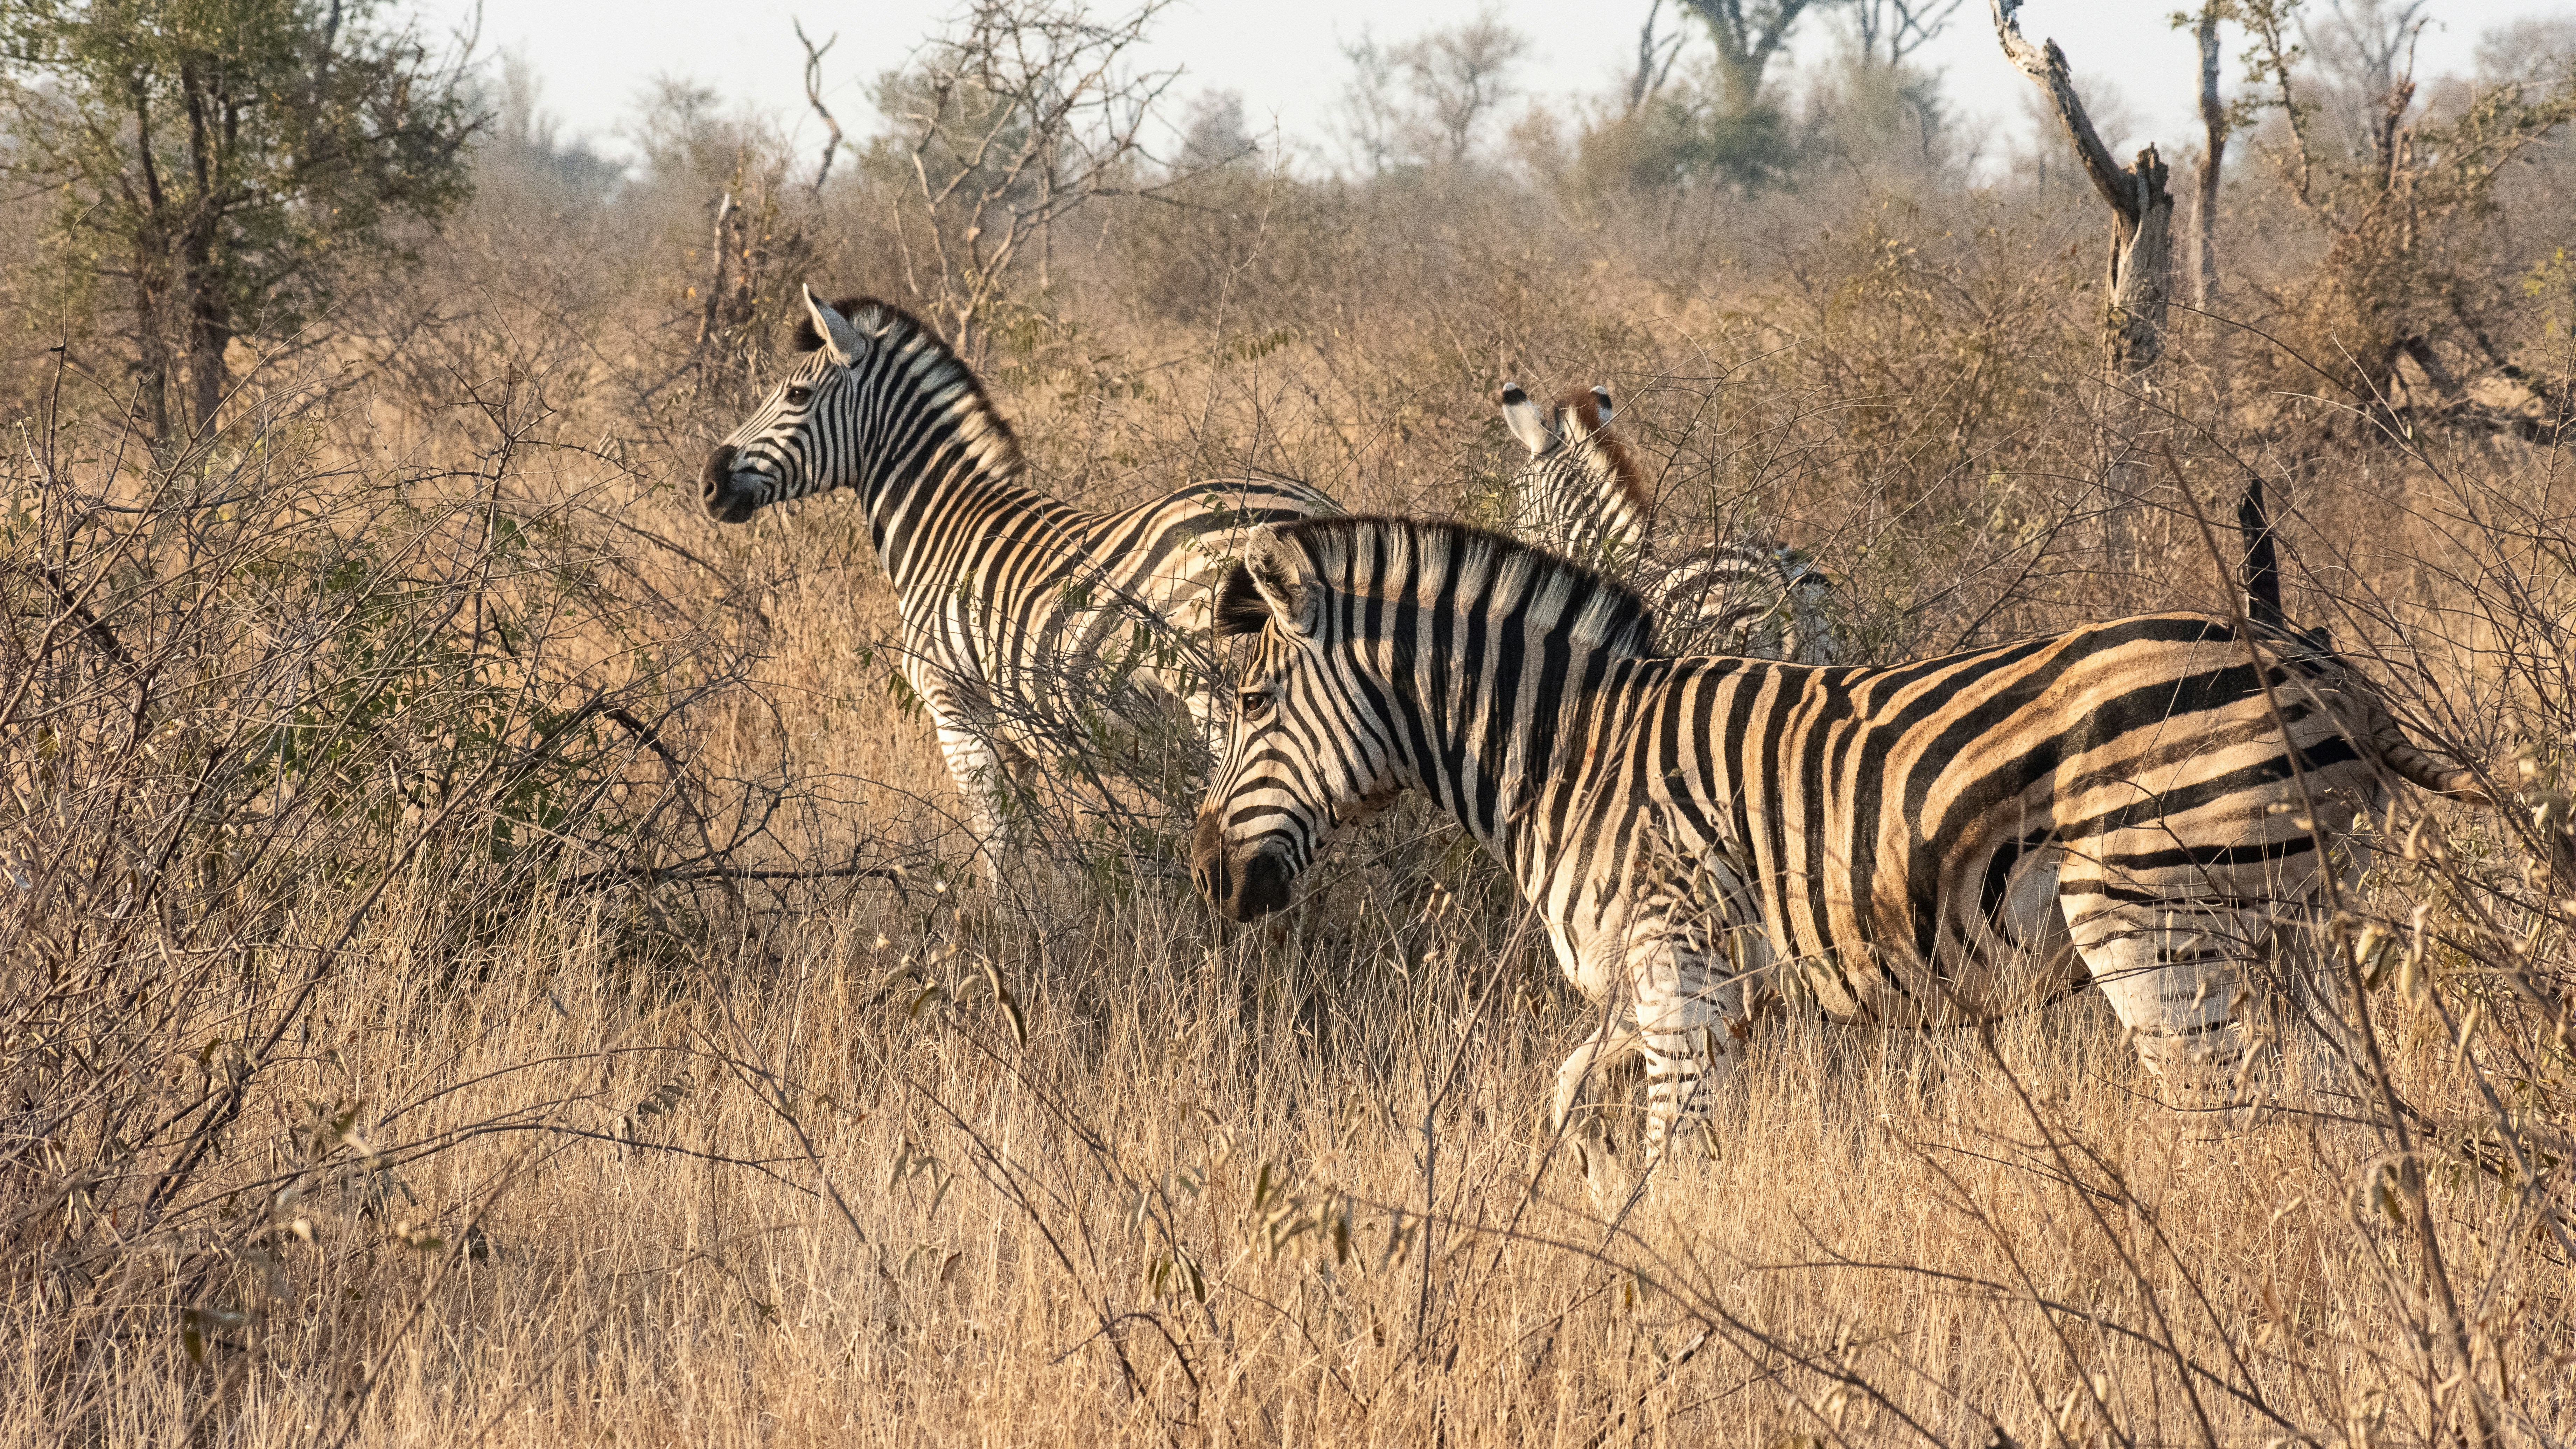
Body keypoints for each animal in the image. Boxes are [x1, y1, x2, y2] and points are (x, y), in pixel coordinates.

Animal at [702, 288, 1336, 875]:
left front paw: (997, 921)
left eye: (797, 396)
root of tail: (1314, 508)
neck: (942, 525)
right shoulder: (1015, 729)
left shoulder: (953, 706)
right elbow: (1024, 833)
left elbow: (995, 837)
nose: (709, 483)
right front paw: (1042, 913)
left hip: (1225, 698)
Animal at [1188, 515, 2482, 1185]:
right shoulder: (1661, 987)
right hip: (2294, 928)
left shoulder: (1681, 968)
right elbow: (1568, 1100)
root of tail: (2321, 668)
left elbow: (1677, 1151)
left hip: (2152, 921)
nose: (1207, 879)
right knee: (2337, 1112)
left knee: (2225, 1117)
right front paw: (1582, 1214)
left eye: (1250, 704)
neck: (1567, 752)